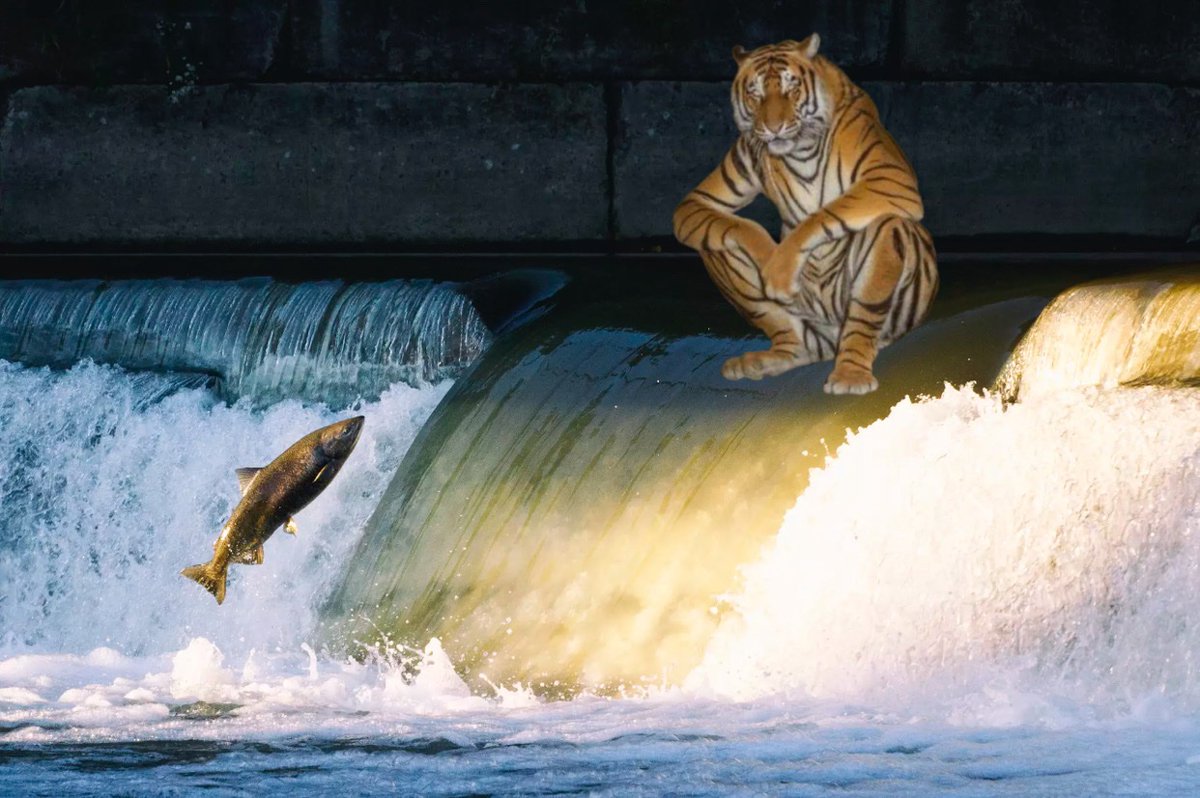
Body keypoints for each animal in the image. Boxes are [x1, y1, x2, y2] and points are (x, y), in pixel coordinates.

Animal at [672, 33, 938, 394]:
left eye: (791, 89)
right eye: (755, 93)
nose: (773, 128)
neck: (800, 150)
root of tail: (829, 342)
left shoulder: (891, 178)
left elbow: (826, 213)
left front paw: (779, 267)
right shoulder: (704, 197)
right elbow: (741, 225)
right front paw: (769, 261)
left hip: (882, 280)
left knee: (871, 289)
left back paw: (850, 375)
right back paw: (768, 360)